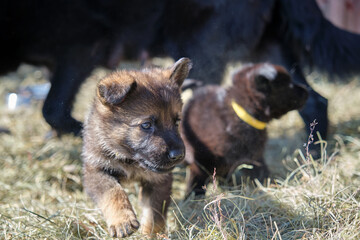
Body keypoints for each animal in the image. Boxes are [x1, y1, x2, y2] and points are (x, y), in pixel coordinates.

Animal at [2, 0, 360, 137]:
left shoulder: (81, 48)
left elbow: (53, 109)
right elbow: (56, 109)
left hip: (204, 50)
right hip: (270, 53)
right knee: (314, 101)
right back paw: (314, 158)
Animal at [81, 57, 191, 237]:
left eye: (177, 122)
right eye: (146, 125)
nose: (178, 155)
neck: (129, 159)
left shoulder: (159, 180)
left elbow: (154, 214)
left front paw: (151, 234)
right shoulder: (96, 170)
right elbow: (113, 192)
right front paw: (122, 221)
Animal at [181, 62, 308, 196]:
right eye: (288, 83)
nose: (307, 91)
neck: (243, 114)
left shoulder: (254, 156)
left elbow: (260, 173)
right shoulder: (200, 161)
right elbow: (197, 181)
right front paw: (192, 197)